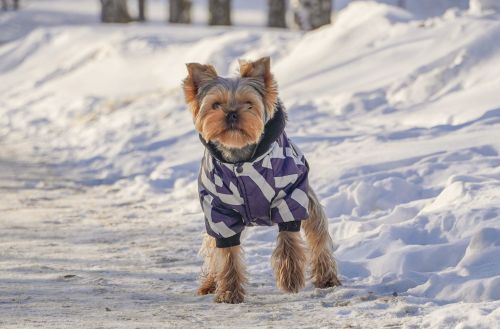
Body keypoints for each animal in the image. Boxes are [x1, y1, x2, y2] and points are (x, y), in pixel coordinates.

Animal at [182, 56, 342, 302]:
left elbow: (289, 240)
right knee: (211, 249)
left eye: (249, 103)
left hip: (308, 201)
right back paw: (209, 283)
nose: (231, 113)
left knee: (318, 235)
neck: (241, 159)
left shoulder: (290, 197)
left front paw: (291, 278)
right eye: (215, 105)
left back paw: (327, 278)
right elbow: (226, 253)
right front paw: (228, 292)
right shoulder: (219, 213)